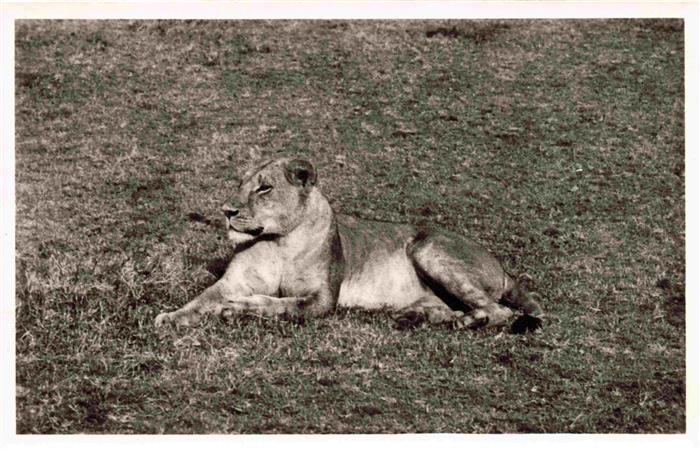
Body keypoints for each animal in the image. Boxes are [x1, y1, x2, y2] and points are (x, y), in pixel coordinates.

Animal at [154, 157, 543, 332]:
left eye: (264, 188)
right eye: (241, 184)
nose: (226, 210)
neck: (278, 242)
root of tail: (502, 267)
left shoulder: (322, 299)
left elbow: (281, 305)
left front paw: (240, 307)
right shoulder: (230, 281)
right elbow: (201, 299)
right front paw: (170, 316)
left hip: (428, 248)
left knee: (500, 311)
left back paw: (465, 321)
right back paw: (418, 315)